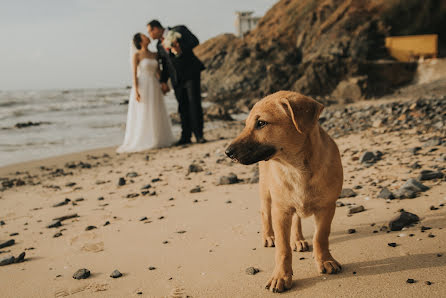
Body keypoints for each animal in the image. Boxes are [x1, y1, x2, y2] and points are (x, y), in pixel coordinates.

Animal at [225, 91, 344, 294]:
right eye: (246, 124)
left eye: (261, 123)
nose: (227, 152)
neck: (295, 168)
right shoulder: (280, 211)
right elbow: (282, 248)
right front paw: (281, 276)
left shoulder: (327, 207)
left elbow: (321, 236)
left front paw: (325, 260)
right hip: (266, 193)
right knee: (265, 214)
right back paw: (268, 236)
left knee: (297, 220)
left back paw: (298, 239)